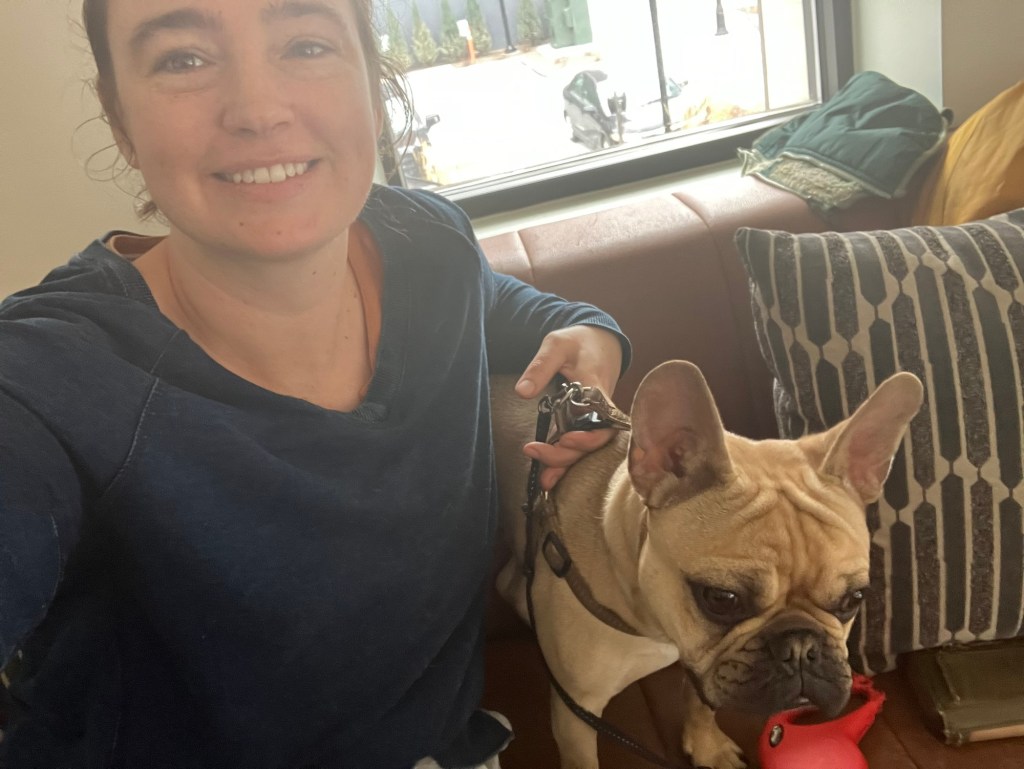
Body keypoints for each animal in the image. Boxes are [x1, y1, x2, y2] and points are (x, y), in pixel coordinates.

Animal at [490, 361, 922, 769]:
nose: (801, 646)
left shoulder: (703, 662)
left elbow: (700, 703)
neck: (655, 622)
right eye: (721, 598)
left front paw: (707, 748)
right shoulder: (577, 710)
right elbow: (582, 759)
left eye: (854, 599)